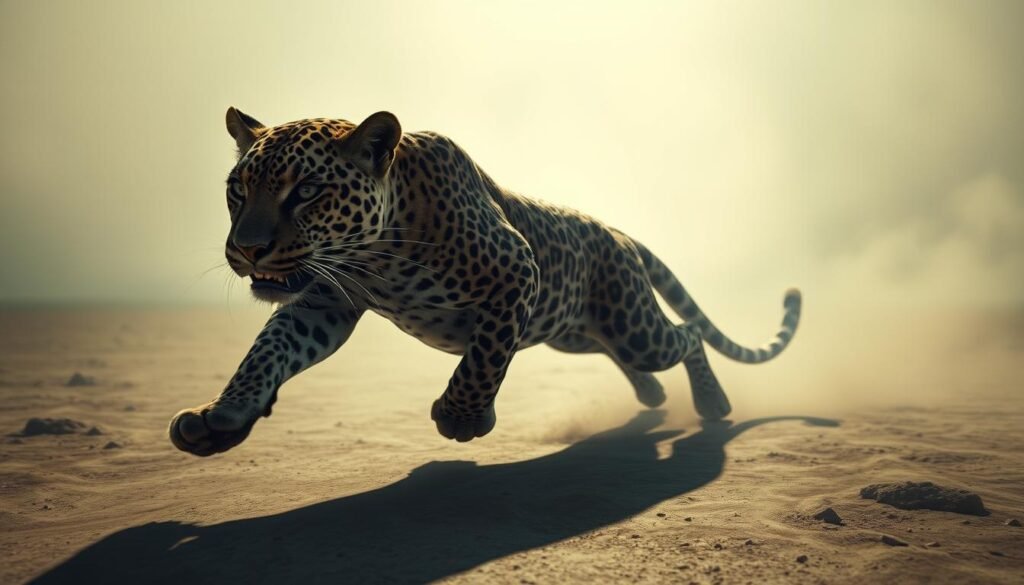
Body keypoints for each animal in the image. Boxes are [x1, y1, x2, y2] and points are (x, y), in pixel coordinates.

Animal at [168, 108, 802, 456]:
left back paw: (712, 403)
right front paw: (222, 414)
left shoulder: (517, 270)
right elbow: (269, 349)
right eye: (237, 190)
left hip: (629, 322)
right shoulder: (323, 303)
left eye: (306, 191)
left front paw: (463, 418)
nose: (247, 249)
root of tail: (615, 230)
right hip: (572, 333)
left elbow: (485, 355)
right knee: (621, 352)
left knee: (685, 337)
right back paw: (652, 396)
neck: (375, 252)